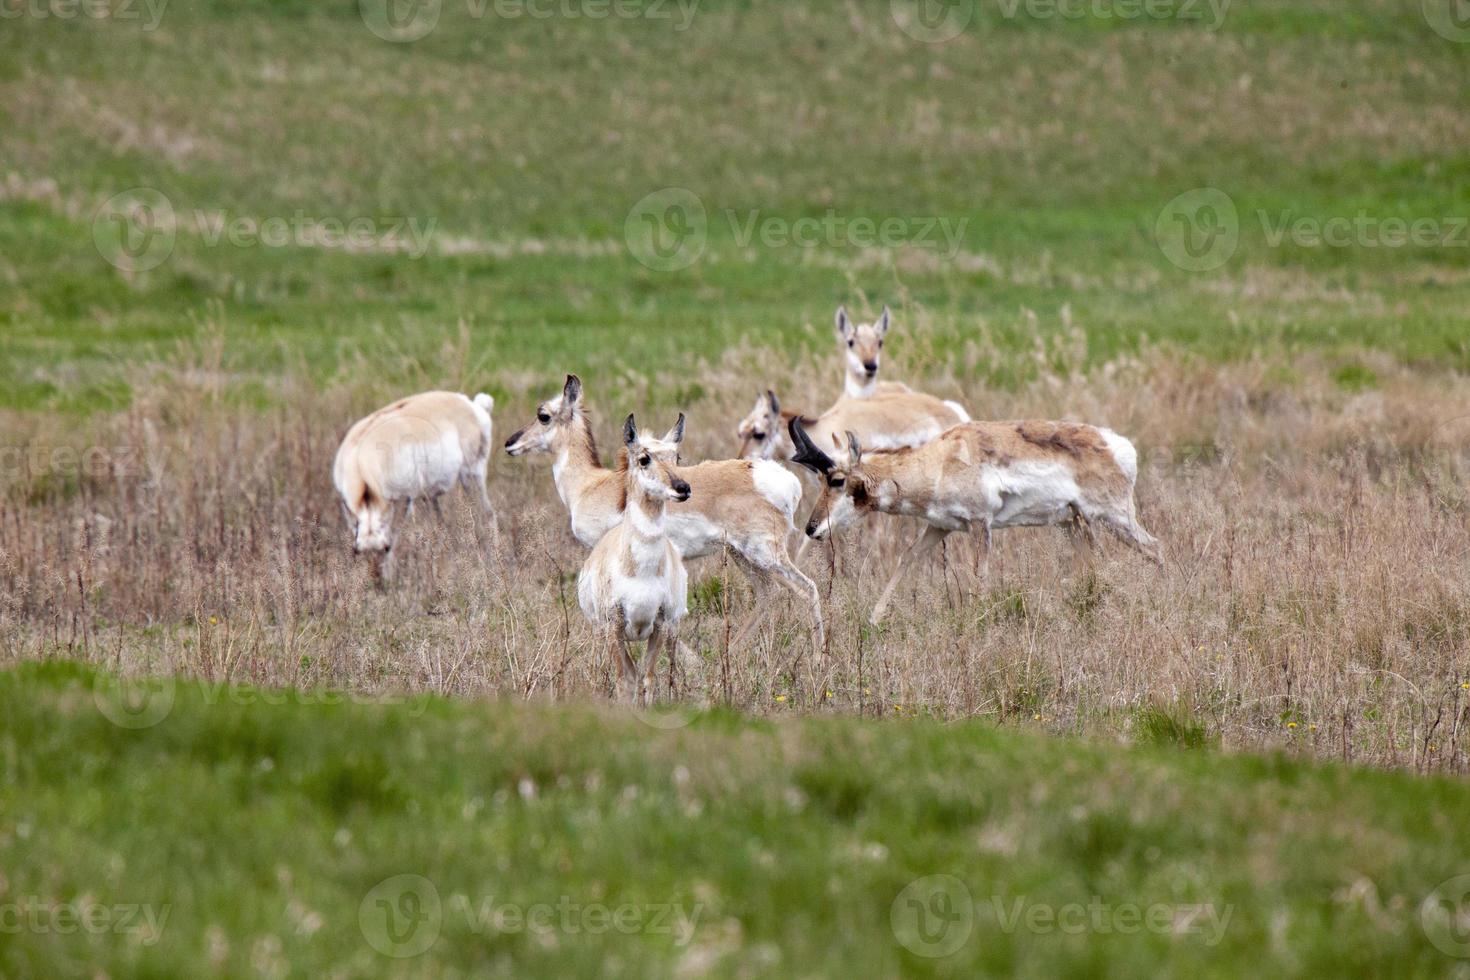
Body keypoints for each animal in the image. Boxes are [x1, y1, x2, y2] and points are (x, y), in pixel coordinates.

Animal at [333, 390, 499, 575]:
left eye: (384, 549)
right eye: (361, 554)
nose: (375, 576)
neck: (361, 460)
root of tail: (472, 405)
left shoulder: (404, 501)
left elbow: (396, 537)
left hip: (471, 478)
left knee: (488, 514)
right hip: (432, 496)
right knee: (442, 525)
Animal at [505, 376, 829, 652]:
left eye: (543, 415)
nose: (510, 442)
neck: (591, 484)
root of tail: (779, 479)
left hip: (765, 555)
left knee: (808, 589)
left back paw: (818, 658)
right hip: (743, 555)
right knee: (767, 594)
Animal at [573, 417, 687, 705]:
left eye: (677, 456)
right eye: (644, 458)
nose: (683, 488)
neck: (641, 573)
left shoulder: (660, 624)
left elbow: (648, 678)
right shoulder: (613, 626)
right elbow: (624, 679)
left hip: (673, 629)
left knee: (664, 672)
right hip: (600, 632)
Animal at [793, 417, 1158, 625]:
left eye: (837, 480)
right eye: (821, 479)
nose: (811, 528)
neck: (941, 461)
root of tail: (1118, 445)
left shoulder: (981, 524)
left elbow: (978, 576)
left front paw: (977, 622)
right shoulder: (939, 525)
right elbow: (907, 558)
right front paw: (873, 618)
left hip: (1116, 517)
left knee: (1155, 549)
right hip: (1074, 524)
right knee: (1093, 566)